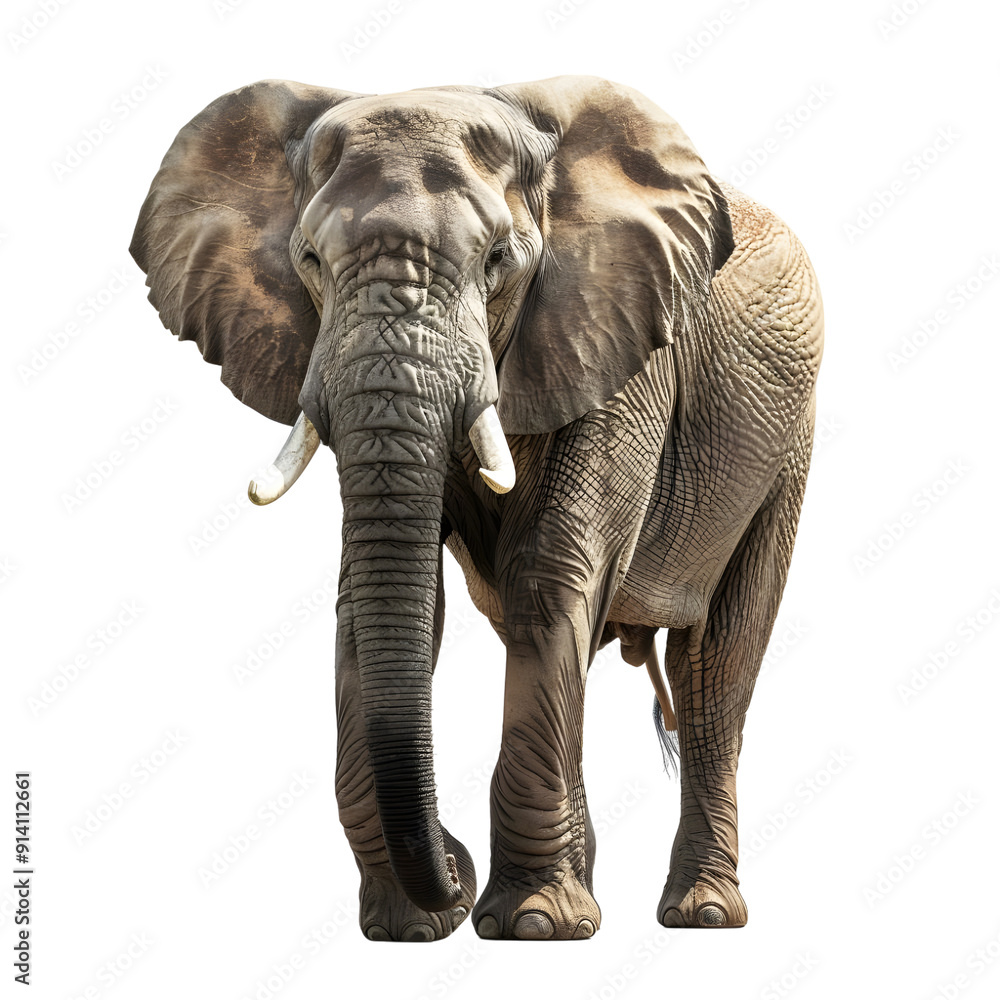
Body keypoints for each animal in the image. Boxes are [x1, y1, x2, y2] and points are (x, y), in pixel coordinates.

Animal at [130, 75, 823, 941]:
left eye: (498, 261)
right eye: (309, 260)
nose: (450, 878)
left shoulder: (622, 340)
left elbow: (550, 574)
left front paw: (532, 927)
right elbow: (383, 595)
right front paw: (413, 927)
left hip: (786, 446)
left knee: (715, 669)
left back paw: (699, 913)